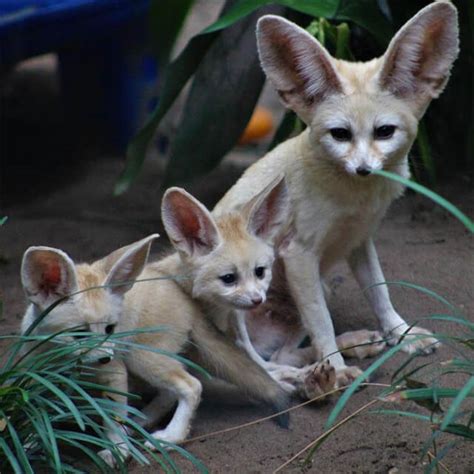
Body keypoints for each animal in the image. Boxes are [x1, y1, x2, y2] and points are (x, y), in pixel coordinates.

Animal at [215, 1, 460, 386]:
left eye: (384, 131)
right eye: (340, 134)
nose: (363, 169)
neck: (354, 199)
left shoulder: (360, 239)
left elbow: (379, 291)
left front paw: (400, 334)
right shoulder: (299, 254)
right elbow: (322, 323)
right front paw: (338, 366)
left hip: (316, 290)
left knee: (286, 354)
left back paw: (351, 348)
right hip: (244, 306)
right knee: (269, 365)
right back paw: (320, 377)